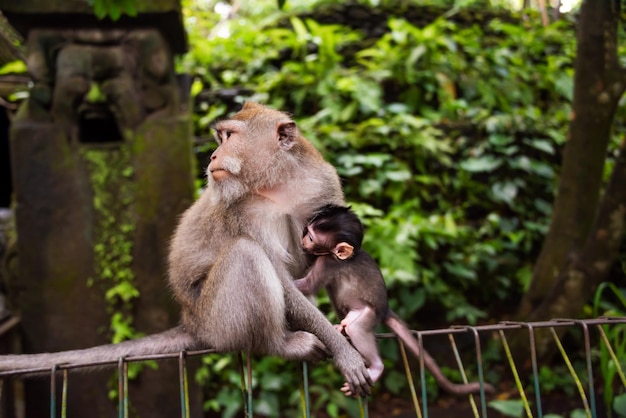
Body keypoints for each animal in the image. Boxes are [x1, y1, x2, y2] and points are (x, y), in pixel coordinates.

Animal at [0, 101, 370, 396]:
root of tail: (191, 322)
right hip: (217, 320)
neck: (276, 183)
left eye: (229, 136)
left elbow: (315, 267)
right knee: (246, 254)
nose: (214, 155)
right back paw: (281, 344)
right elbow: (282, 278)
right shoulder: (241, 213)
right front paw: (344, 350)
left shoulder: (321, 185)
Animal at [294, 206, 494, 398]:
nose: (302, 241)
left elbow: (307, 286)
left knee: (357, 328)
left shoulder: (327, 262)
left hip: (368, 313)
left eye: (310, 237)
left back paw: (376, 367)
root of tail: (385, 309)